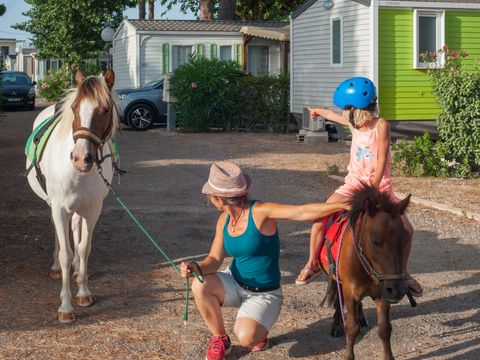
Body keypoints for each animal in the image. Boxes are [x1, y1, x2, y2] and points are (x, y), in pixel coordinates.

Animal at [26, 69, 118, 322]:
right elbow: (66, 253)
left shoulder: (93, 210)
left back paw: (76, 271)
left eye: (105, 110)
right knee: (59, 234)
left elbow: (84, 248)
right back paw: (57, 268)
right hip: (52, 204)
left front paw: (83, 293)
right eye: (75, 109)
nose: (80, 158)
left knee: (75, 227)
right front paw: (66, 307)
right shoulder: (59, 208)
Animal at [320, 186, 410, 360]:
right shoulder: (350, 292)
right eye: (376, 241)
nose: (396, 290)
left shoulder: (383, 293)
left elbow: (384, 329)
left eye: (405, 240)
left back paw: (361, 315)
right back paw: (337, 324)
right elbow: (352, 328)